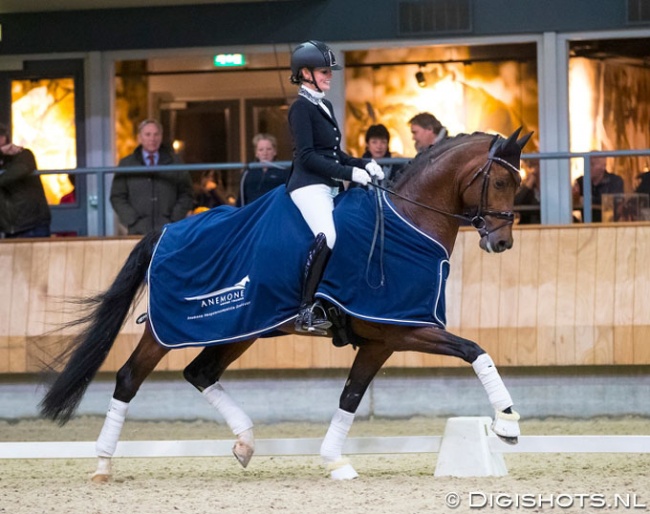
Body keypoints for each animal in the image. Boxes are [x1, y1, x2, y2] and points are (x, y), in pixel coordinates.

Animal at [38, 128, 528, 480]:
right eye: (502, 181)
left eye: (518, 182)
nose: (502, 242)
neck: (407, 222)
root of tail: (167, 230)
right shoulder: (406, 329)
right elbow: (474, 351)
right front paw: (506, 423)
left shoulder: (381, 340)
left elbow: (351, 397)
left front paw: (335, 460)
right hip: (172, 330)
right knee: (128, 378)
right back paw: (103, 464)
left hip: (241, 329)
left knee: (200, 373)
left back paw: (245, 443)